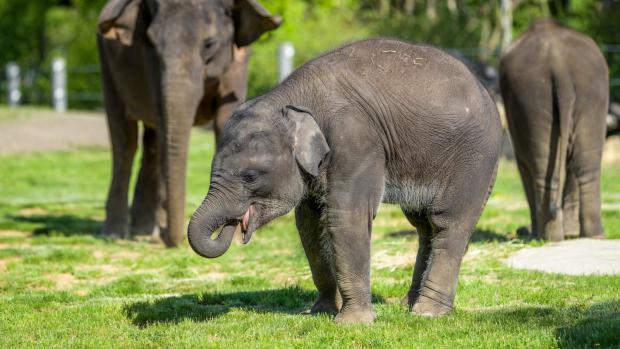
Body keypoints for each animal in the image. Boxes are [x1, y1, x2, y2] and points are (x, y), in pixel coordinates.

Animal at [97, 0, 280, 246]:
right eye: (152, 42)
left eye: (209, 44)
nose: (174, 241)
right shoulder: (150, 64)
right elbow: (163, 120)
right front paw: (161, 233)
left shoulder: (239, 60)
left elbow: (225, 118)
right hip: (107, 66)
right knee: (125, 140)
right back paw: (117, 234)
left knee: (151, 143)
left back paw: (143, 229)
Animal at [190, 38, 504, 324]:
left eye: (250, 176)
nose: (233, 224)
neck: (292, 100)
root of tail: (487, 92)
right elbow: (308, 223)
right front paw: (319, 312)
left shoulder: (355, 141)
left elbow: (346, 217)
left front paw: (352, 323)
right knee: (424, 226)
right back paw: (409, 305)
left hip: (475, 159)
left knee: (448, 223)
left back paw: (427, 313)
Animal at [498, 19, 612, 239]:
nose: (519, 230)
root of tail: (559, 67)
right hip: (587, 95)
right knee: (586, 165)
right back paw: (590, 235)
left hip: (534, 96)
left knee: (544, 170)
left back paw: (547, 237)